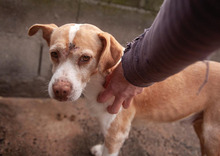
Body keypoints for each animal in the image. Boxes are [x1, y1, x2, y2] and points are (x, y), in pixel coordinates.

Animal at [28, 23, 220, 156]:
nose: (60, 90)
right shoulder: (108, 126)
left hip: (211, 136)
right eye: (54, 54)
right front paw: (100, 149)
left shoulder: (117, 132)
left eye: (85, 58)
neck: (103, 79)